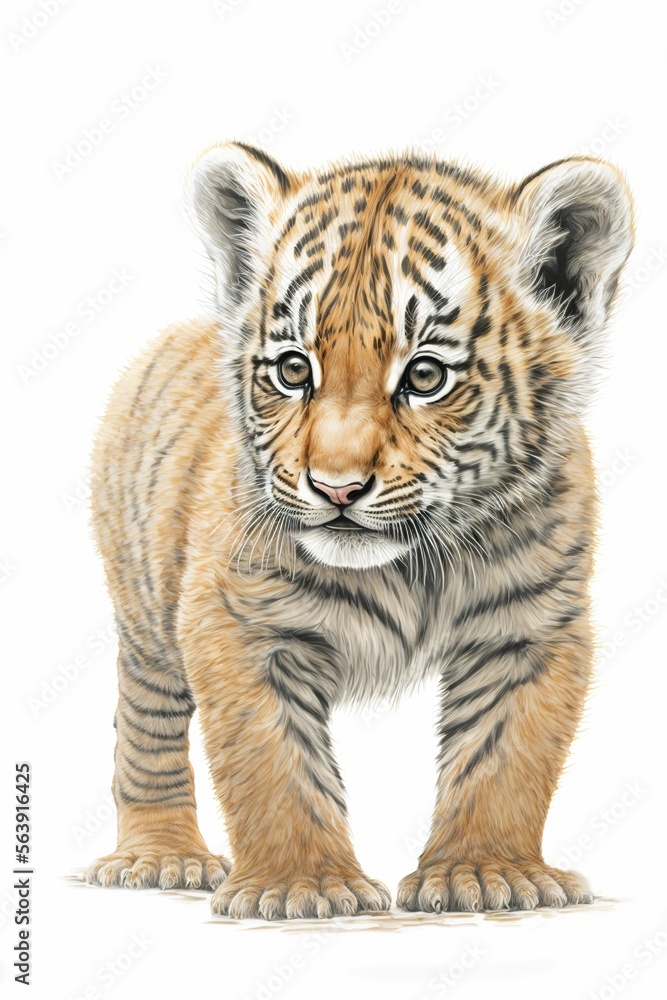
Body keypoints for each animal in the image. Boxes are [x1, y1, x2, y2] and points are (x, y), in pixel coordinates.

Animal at [84, 142, 634, 919]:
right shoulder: (239, 624)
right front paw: (300, 885)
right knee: (147, 726)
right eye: (293, 370)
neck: (411, 565)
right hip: (144, 612)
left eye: (426, 376)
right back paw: (164, 856)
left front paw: (485, 873)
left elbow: (503, 759)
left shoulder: (527, 626)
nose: (335, 487)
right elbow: (273, 766)